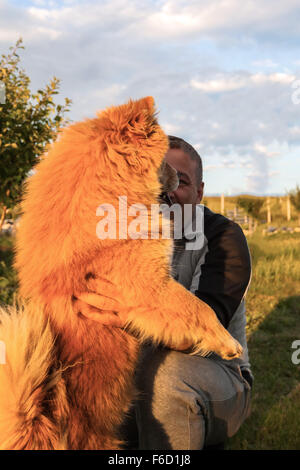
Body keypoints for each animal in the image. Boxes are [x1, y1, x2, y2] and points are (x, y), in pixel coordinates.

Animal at [0, 94, 241, 448]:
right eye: (165, 161)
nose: (176, 179)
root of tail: (38, 426)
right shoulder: (153, 287)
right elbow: (199, 309)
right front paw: (227, 343)